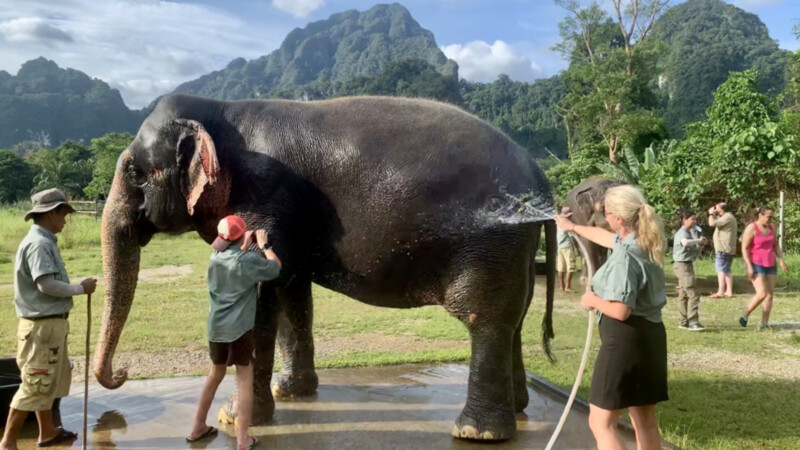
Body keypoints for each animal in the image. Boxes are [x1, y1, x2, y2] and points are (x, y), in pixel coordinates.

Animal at [94, 94, 557, 441]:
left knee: (483, 316)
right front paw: (292, 392)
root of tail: (541, 178)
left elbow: (263, 297)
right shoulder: (289, 223)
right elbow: (291, 294)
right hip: (512, 245)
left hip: (490, 240)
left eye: (134, 171)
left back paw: (477, 433)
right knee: (514, 318)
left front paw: (232, 419)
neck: (220, 110)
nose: (123, 372)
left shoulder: (267, 199)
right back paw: (517, 410)